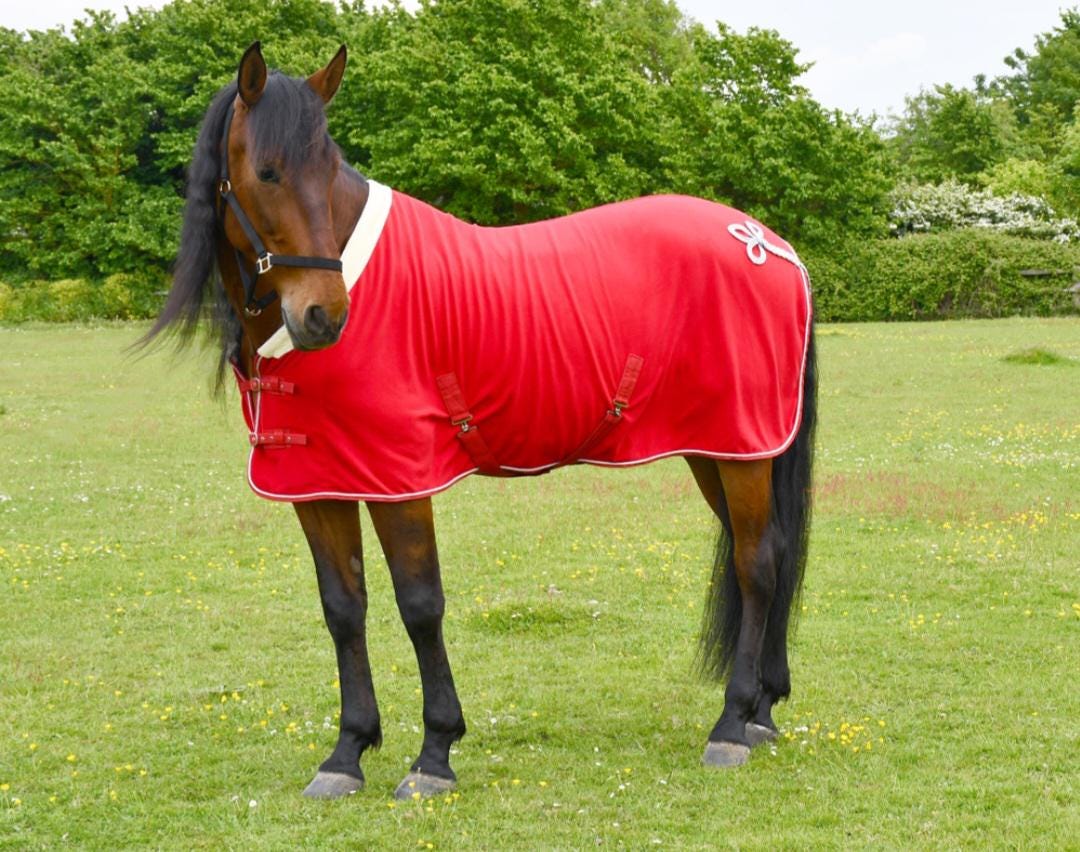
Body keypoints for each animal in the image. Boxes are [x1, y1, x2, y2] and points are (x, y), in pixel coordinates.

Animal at [144, 43, 817, 800]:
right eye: (266, 172)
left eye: (328, 166)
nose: (324, 315)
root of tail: (765, 242)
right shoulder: (318, 483)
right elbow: (343, 608)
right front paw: (347, 753)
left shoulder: (399, 481)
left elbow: (420, 604)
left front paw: (434, 753)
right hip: (721, 449)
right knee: (766, 551)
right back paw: (761, 711)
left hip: (740, 448)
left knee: (756, 564)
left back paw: (732, 723)